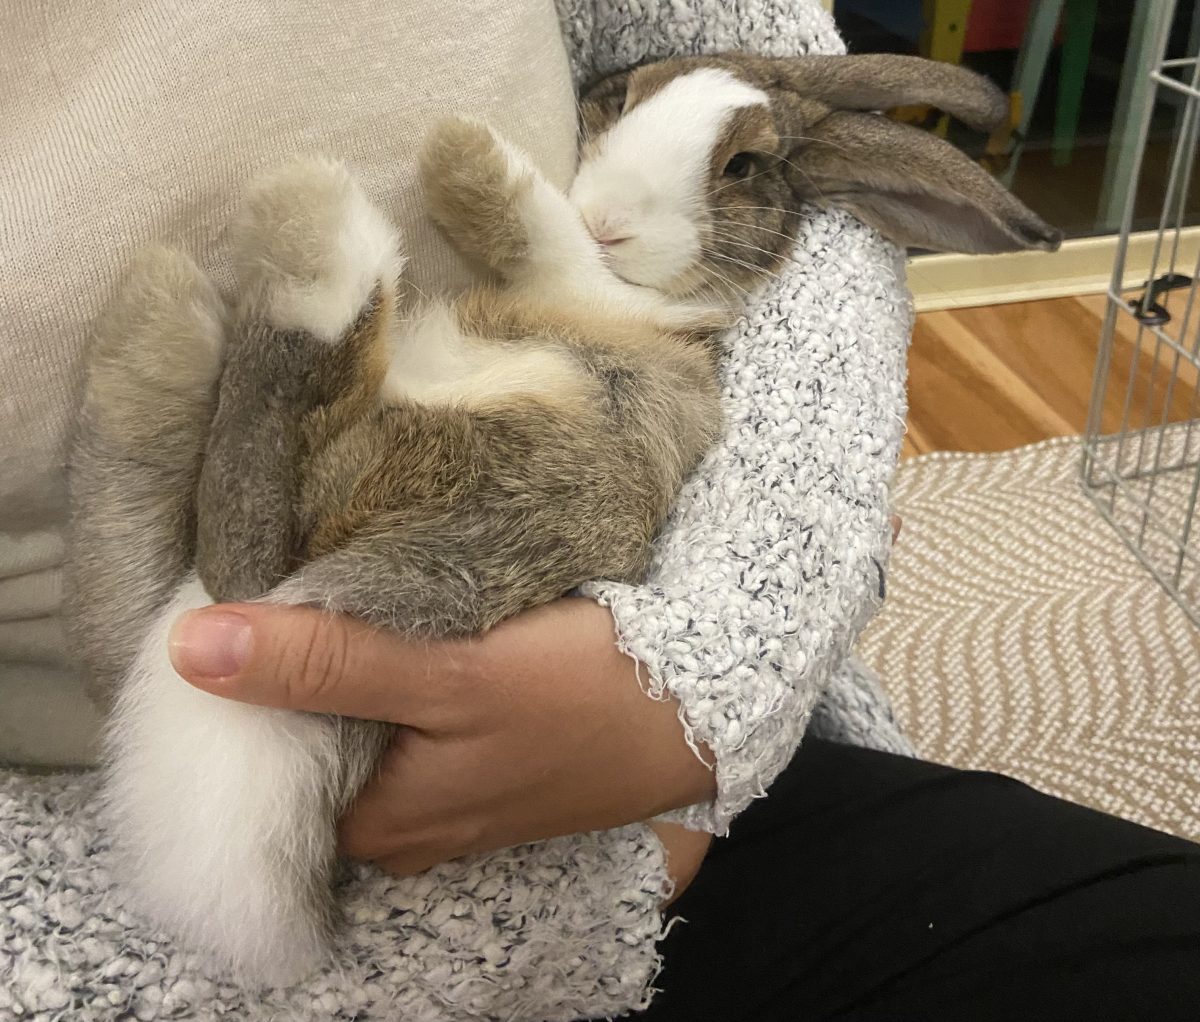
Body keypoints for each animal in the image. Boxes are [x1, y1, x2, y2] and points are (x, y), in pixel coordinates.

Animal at [65, 51, 1060, 988]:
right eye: (627, 94)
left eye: (742, 166)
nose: (612, 218)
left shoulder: (605, 298)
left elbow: (546, 238)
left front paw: (464, 156)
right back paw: (160, 325)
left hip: (422, 472)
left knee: (250, 527)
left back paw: (296, 233)